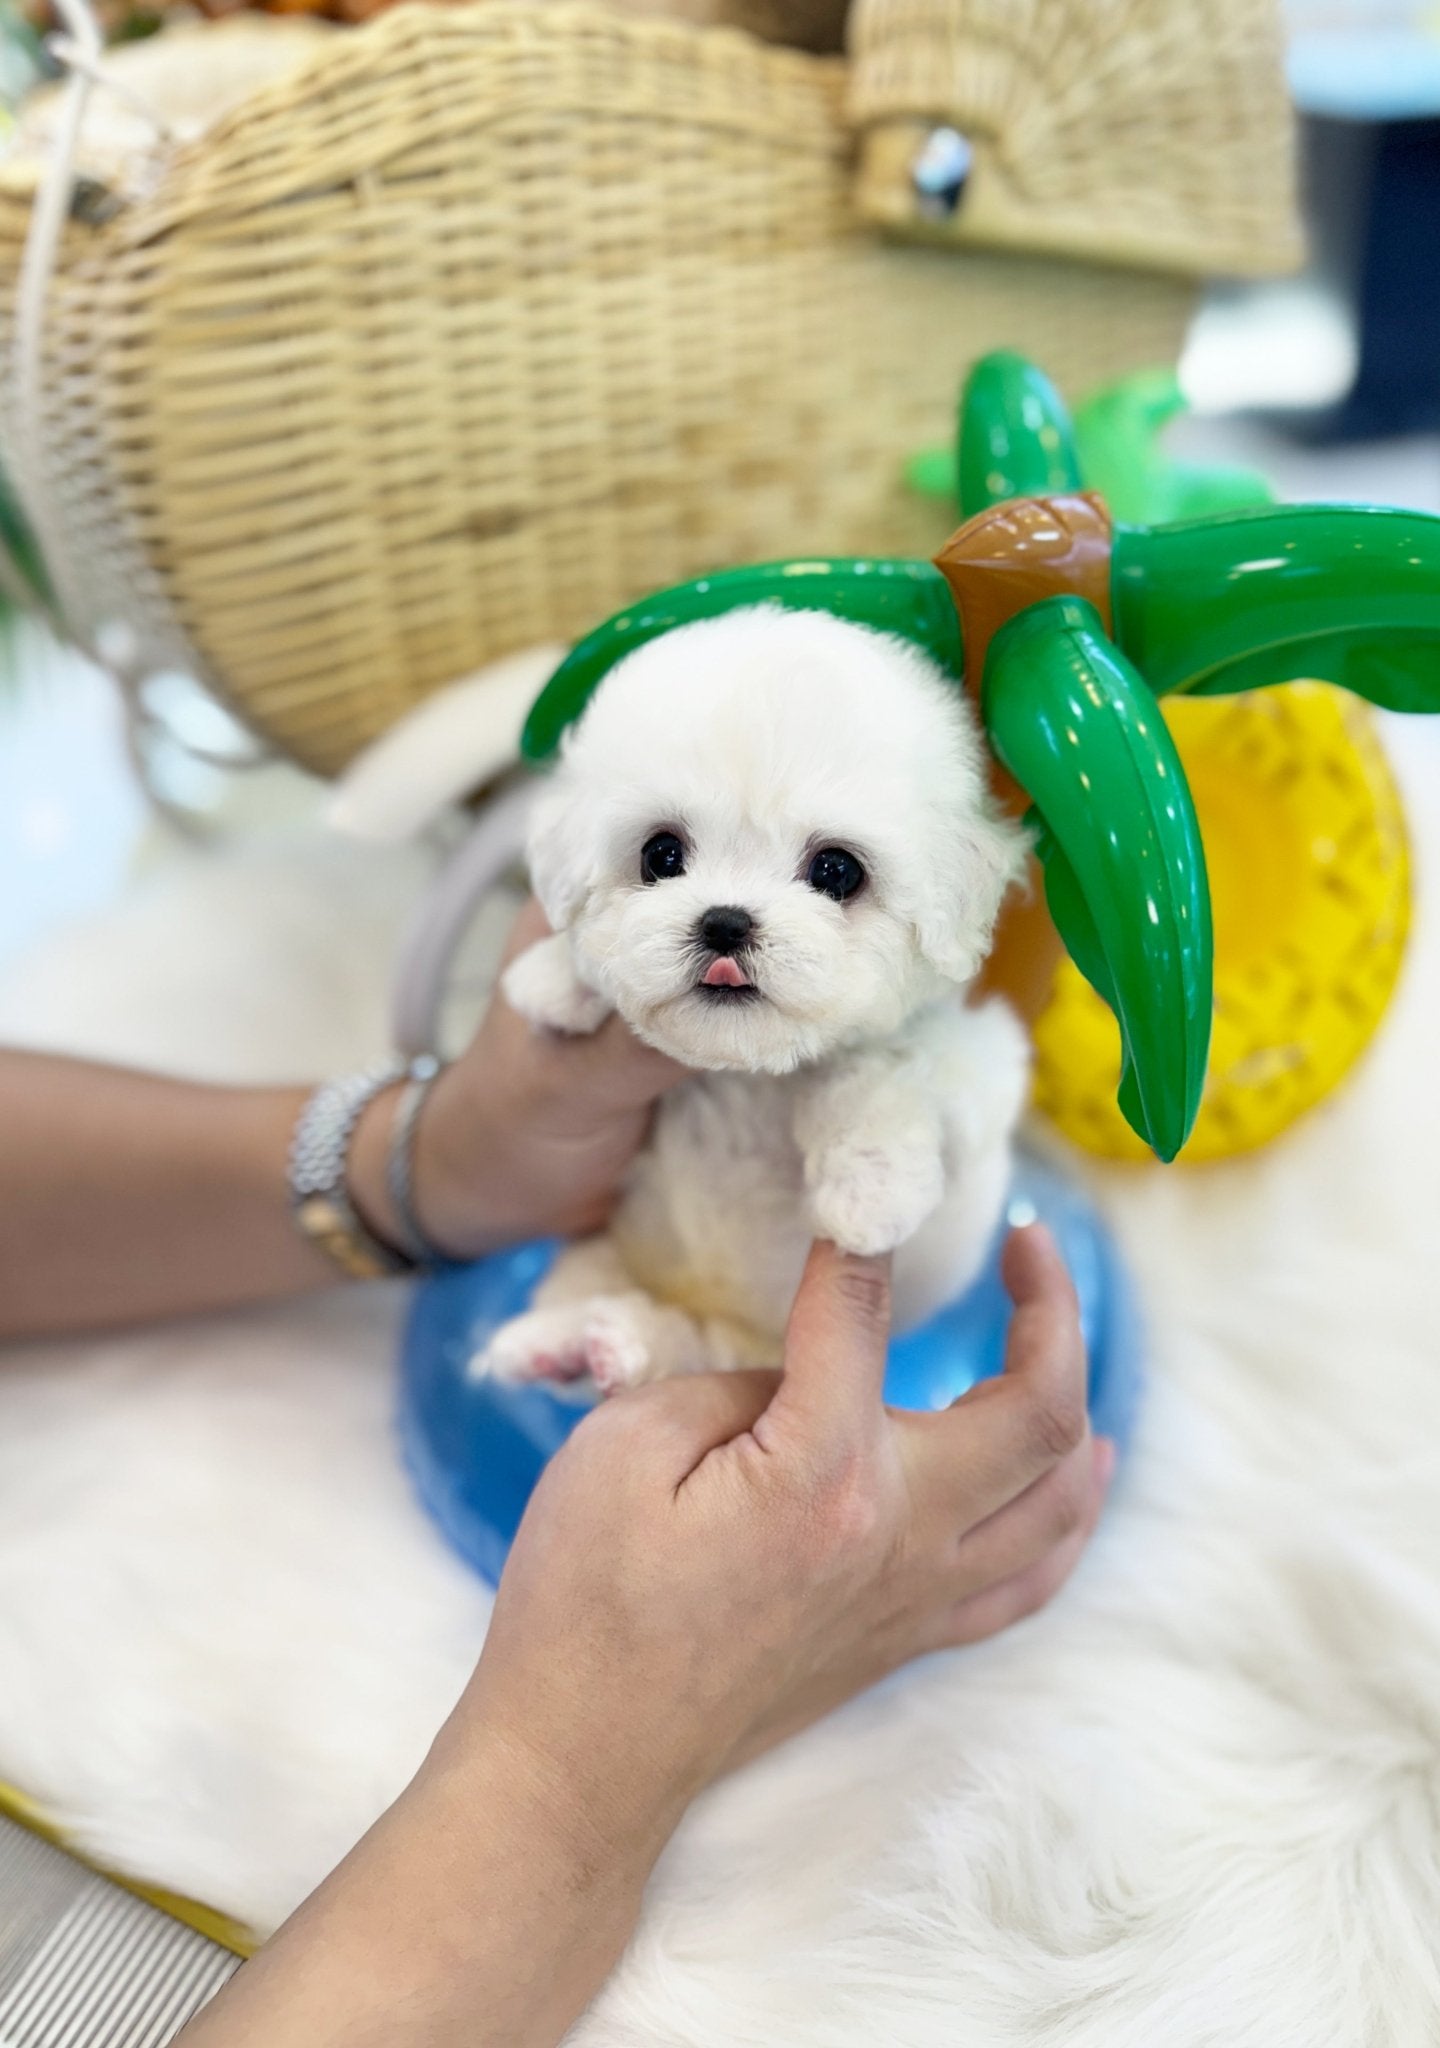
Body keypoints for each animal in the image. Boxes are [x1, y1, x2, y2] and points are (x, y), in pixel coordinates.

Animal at [479, 602, 1032, 1392]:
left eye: (836, 870)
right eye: (661, 856)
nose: (724, 922)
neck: (751, 1074)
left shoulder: (978, 1059)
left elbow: (885, 1063)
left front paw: (869, 1192)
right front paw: (555, 977)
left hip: (753, 1353)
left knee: (697, 1354)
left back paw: (617, 1343)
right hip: (611, 1253)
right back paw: (558, 1344)